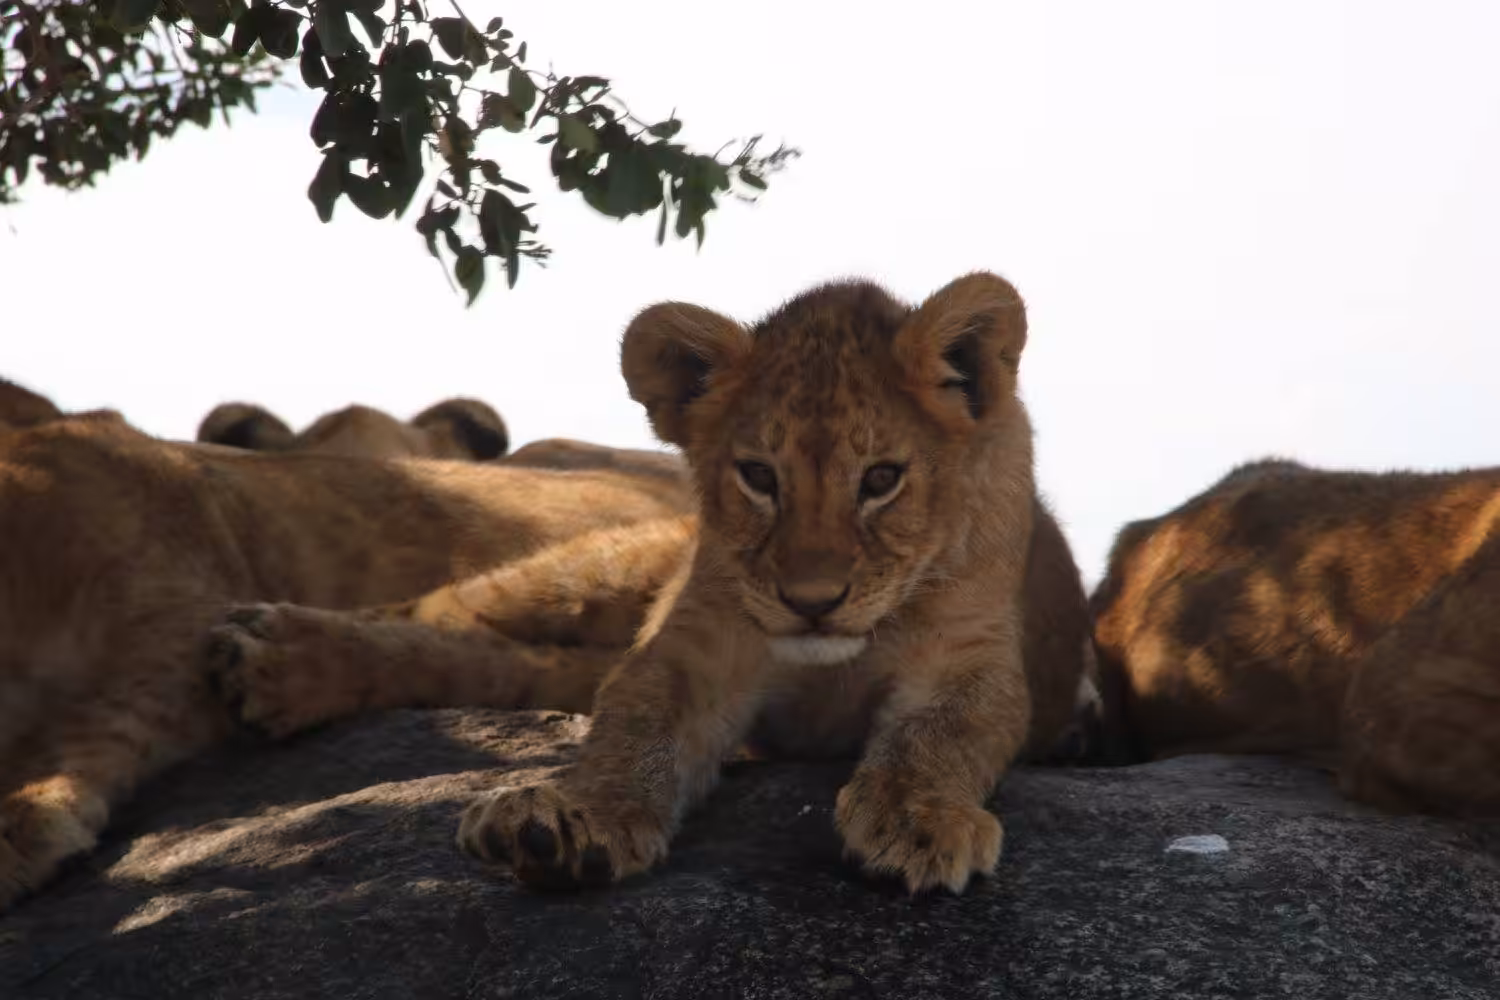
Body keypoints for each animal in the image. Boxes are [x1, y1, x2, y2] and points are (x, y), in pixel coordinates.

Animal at [207, 273, 1096, 895]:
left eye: (881, 479)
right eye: (758, 477)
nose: (812, 603)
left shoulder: (971, 657)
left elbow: (939, 735)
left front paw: (917, 822)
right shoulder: (695, 645)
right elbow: (638, 728)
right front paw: (570, 820)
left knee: (494, 663)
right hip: (595, 571)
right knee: (441, 611)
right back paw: (272, 655)